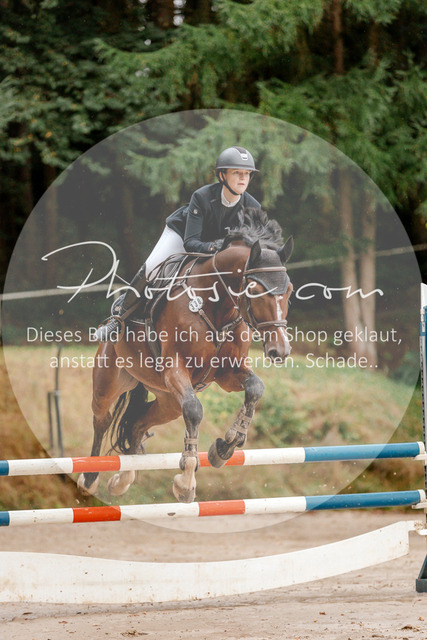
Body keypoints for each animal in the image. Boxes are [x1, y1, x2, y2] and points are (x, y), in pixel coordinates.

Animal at [77, 208, 293, 503]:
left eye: (290, 290)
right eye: (255, 291)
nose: (279, 351)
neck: (217, 304)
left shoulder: (227, 372)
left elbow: (255, 388)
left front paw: (226, 447)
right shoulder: (175, 369)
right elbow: (194, 410)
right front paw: (186, 481)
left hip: (167, 400)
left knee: (137, 424)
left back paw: (122, 481)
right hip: (109, 382)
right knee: (102, 420)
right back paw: (89, 478)